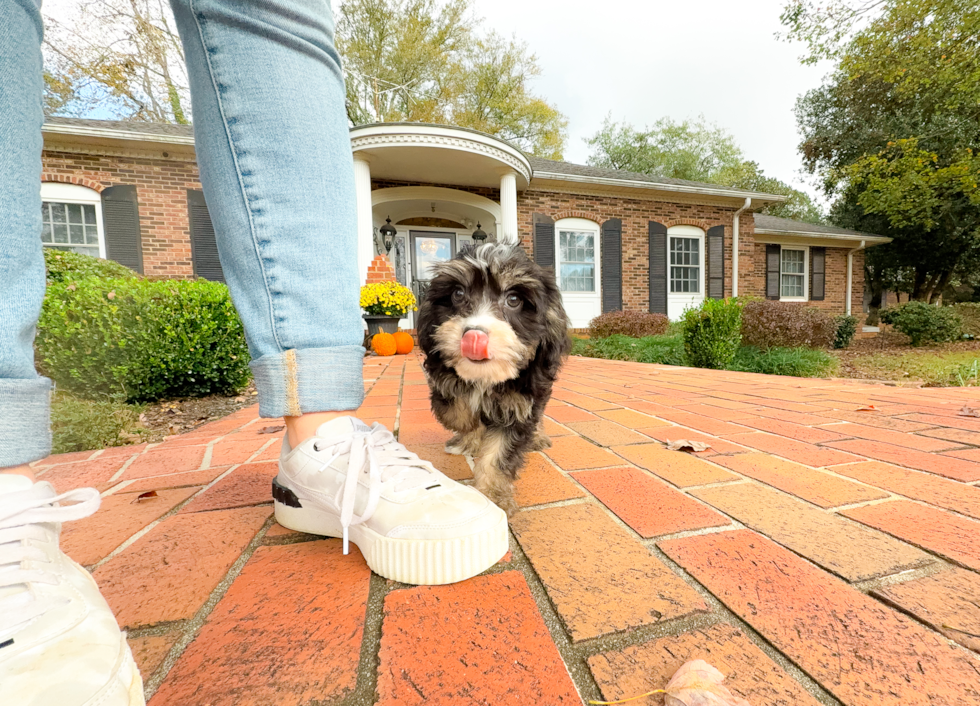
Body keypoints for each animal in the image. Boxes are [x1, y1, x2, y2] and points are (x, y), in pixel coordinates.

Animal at [416, 241, 572, 512]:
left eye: (514, 299)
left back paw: (538, 436)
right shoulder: (440, 373)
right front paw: (469, 427)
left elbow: (500, 452)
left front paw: (493, 496)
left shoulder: (521, 404)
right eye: (458, 294)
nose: (474, 336)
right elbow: (455, 407)